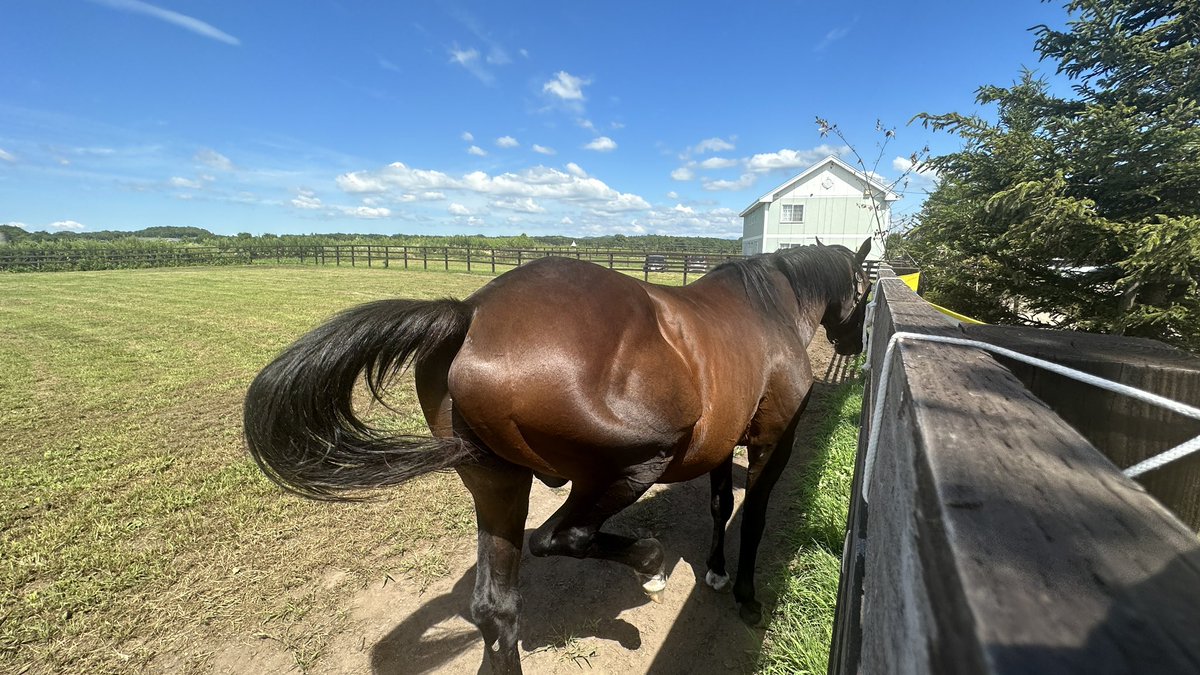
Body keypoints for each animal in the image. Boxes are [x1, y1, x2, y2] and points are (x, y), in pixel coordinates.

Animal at [243, 239, 872, 674]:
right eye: (864, 289)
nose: (855, 342)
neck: (769, 308)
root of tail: (471, 315)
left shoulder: (726, 443)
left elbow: (721, 505)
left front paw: (715, 572)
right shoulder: (771, 443)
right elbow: (754, 515)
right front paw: (744, 594)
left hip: (496, 483)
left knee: (496, 609)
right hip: (637, 464)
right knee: (560, 537)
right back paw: (648, 566)